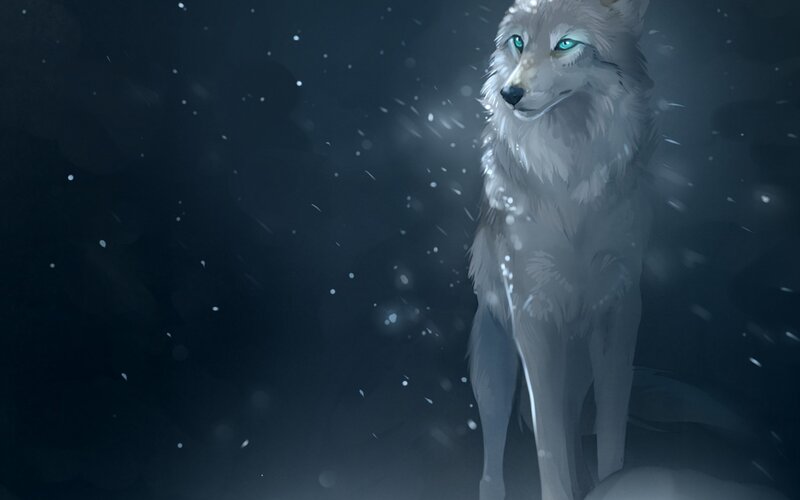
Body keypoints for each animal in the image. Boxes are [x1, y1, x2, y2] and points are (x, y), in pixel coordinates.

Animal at [467, 1, 655, 499]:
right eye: (518, 42)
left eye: (566, 44)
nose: (510, 94)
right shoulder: (533, 315)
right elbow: (547, 441)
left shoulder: (620, 311)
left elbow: (610, 428)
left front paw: (613, 484)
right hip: (494, 363)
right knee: (496, 449)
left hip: (578, 370)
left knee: (572, 426)